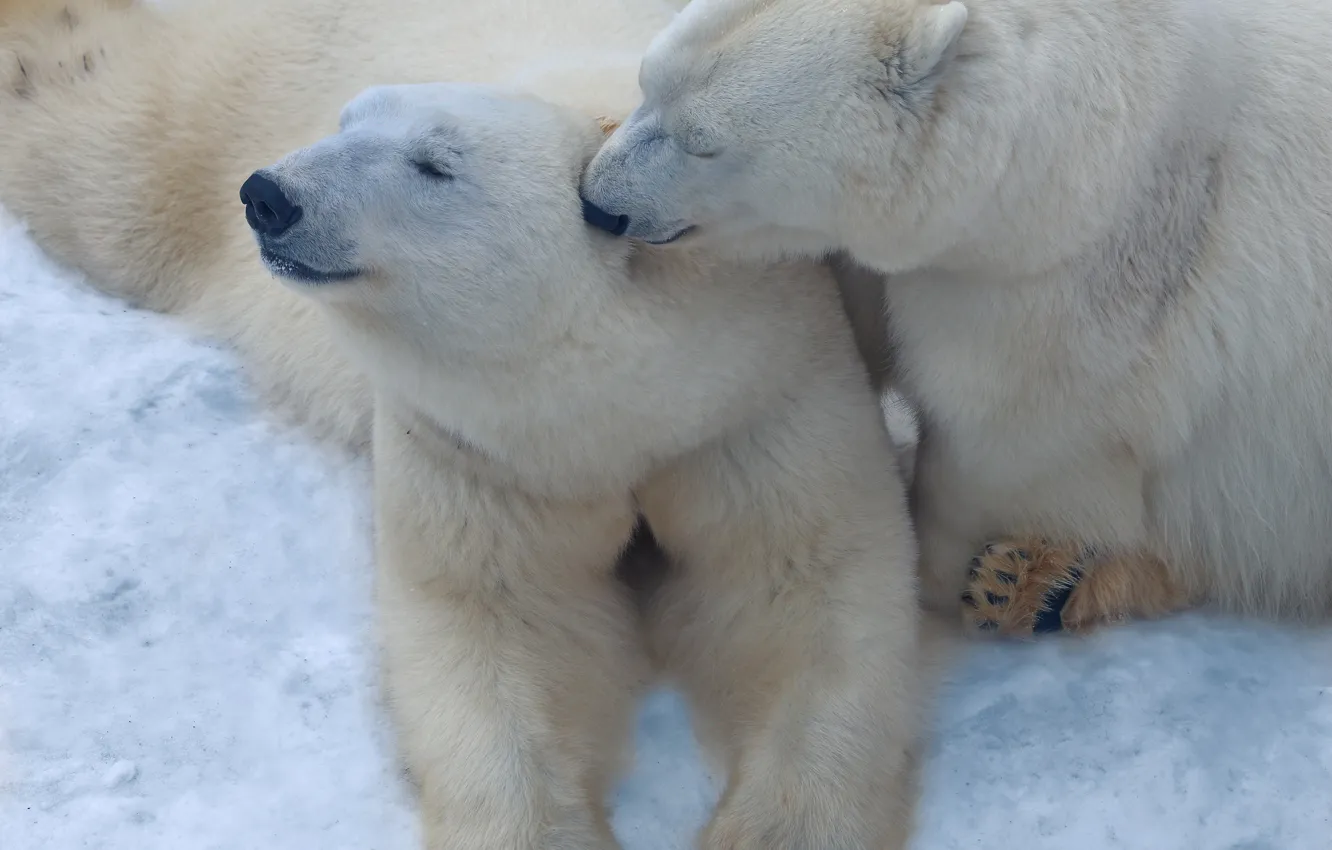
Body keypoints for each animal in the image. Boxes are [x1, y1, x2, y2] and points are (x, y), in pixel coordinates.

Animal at [0, 1, 930, 848]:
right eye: (347, 119)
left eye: (434, 163)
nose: (270, 196)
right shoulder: (473, 442)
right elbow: (499, 617)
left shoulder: (760, 390)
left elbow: (803, 584)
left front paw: (774, 829)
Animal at [580, 0, 1332, 638]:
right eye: (648, 82)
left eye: (704, 142)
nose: (597, 201)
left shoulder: (1067, 290)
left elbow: (997, 441)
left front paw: (936, 575)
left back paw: (1034, 581)